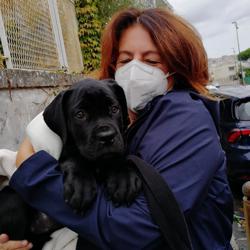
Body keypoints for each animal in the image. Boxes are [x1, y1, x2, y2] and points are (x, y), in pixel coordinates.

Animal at [42, 78, 141, 213]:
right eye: (80, 114)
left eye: (114, 109)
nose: (107, 136)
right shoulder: (65, 153)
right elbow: (74, 159)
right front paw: (81, 185)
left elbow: (118, 156)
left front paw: (123, 177)